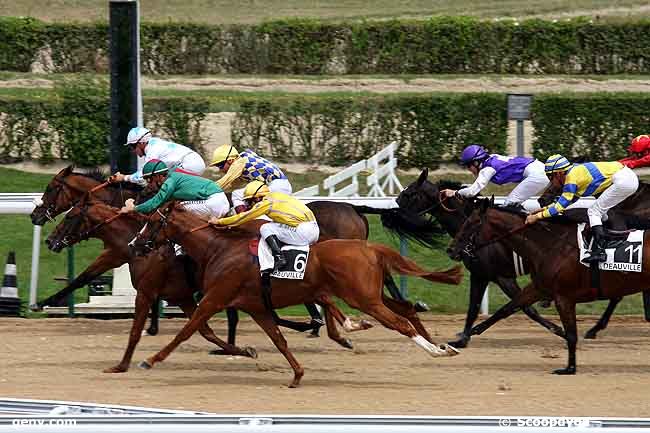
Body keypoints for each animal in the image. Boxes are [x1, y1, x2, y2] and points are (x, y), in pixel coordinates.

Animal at [130, 204, 460, 386]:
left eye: (152, 221)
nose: (135, 244)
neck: (218, 248)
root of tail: (370, 247)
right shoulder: (255, 306)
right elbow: (279, 339)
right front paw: (297, 374)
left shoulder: (215, 298)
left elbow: (186, 331)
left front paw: (150, 360)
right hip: (370, 294)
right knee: (405, 309)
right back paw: (441, 346)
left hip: (364, 298)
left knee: (399, 323)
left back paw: (436, 350)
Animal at [390, 167, 560, 346]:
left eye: (409, 194)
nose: (392, 214)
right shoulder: (480, 275)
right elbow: (473, 307)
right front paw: (463, 338)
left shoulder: (502, 277)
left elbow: (524, 307)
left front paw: (559, 330)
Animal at [448, 201, 648, 372]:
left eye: (472, 223)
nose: (451, 250)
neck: (552, 245)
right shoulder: (539, 287)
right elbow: (507, 309)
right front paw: (461, 340)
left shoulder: (562, 296)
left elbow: (570, 333)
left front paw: (569, 368)